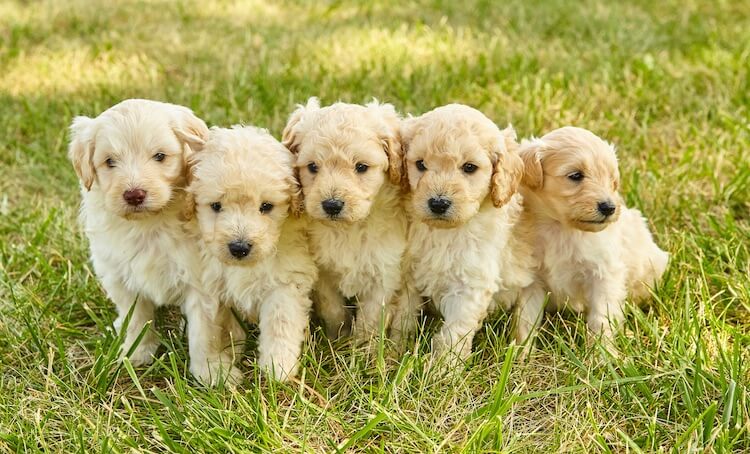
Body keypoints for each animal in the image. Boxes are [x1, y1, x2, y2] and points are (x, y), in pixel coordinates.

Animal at [70, 98, 238, 384]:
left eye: (159, 156)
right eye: (110, 161)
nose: (134, 194)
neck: (149, 224)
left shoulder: (201, 281)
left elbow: (204, 332)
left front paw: (212, 372)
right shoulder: (120, 277)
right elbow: (136, 318)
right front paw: (135, 353)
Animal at [187, 125, 320, 380]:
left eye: (266, 207)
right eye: (216, 206)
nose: (239, 247)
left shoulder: (285, 281)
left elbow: (280, 323)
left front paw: (278, 367)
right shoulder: (206, 282)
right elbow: (206, 330)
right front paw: (214, 371)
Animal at [284, 97, 412, 342]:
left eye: (361, 167)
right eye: (312, 166)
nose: (332, 205)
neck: (348, 229)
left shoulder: (384, 275)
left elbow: (370, 321)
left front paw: (362, 348)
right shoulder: (323, 273)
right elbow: (332, 310)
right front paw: (338, 340)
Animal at [390, 103, 536, 358]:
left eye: (469, 168)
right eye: (420, 164)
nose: (438, 203)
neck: (446, 232)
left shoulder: (470, 285)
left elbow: (454, 334)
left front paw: (444, 365)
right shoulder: (410, 273)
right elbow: (403, 317)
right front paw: (394, 351)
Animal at [516, 126, 668, 346]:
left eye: (611, 180)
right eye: (576, 175)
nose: (609, 207)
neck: (561, 229)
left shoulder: (604, 274)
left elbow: (601, 318)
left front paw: (602, 352)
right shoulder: (532, 279)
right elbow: (526, 321)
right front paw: (521, 351)